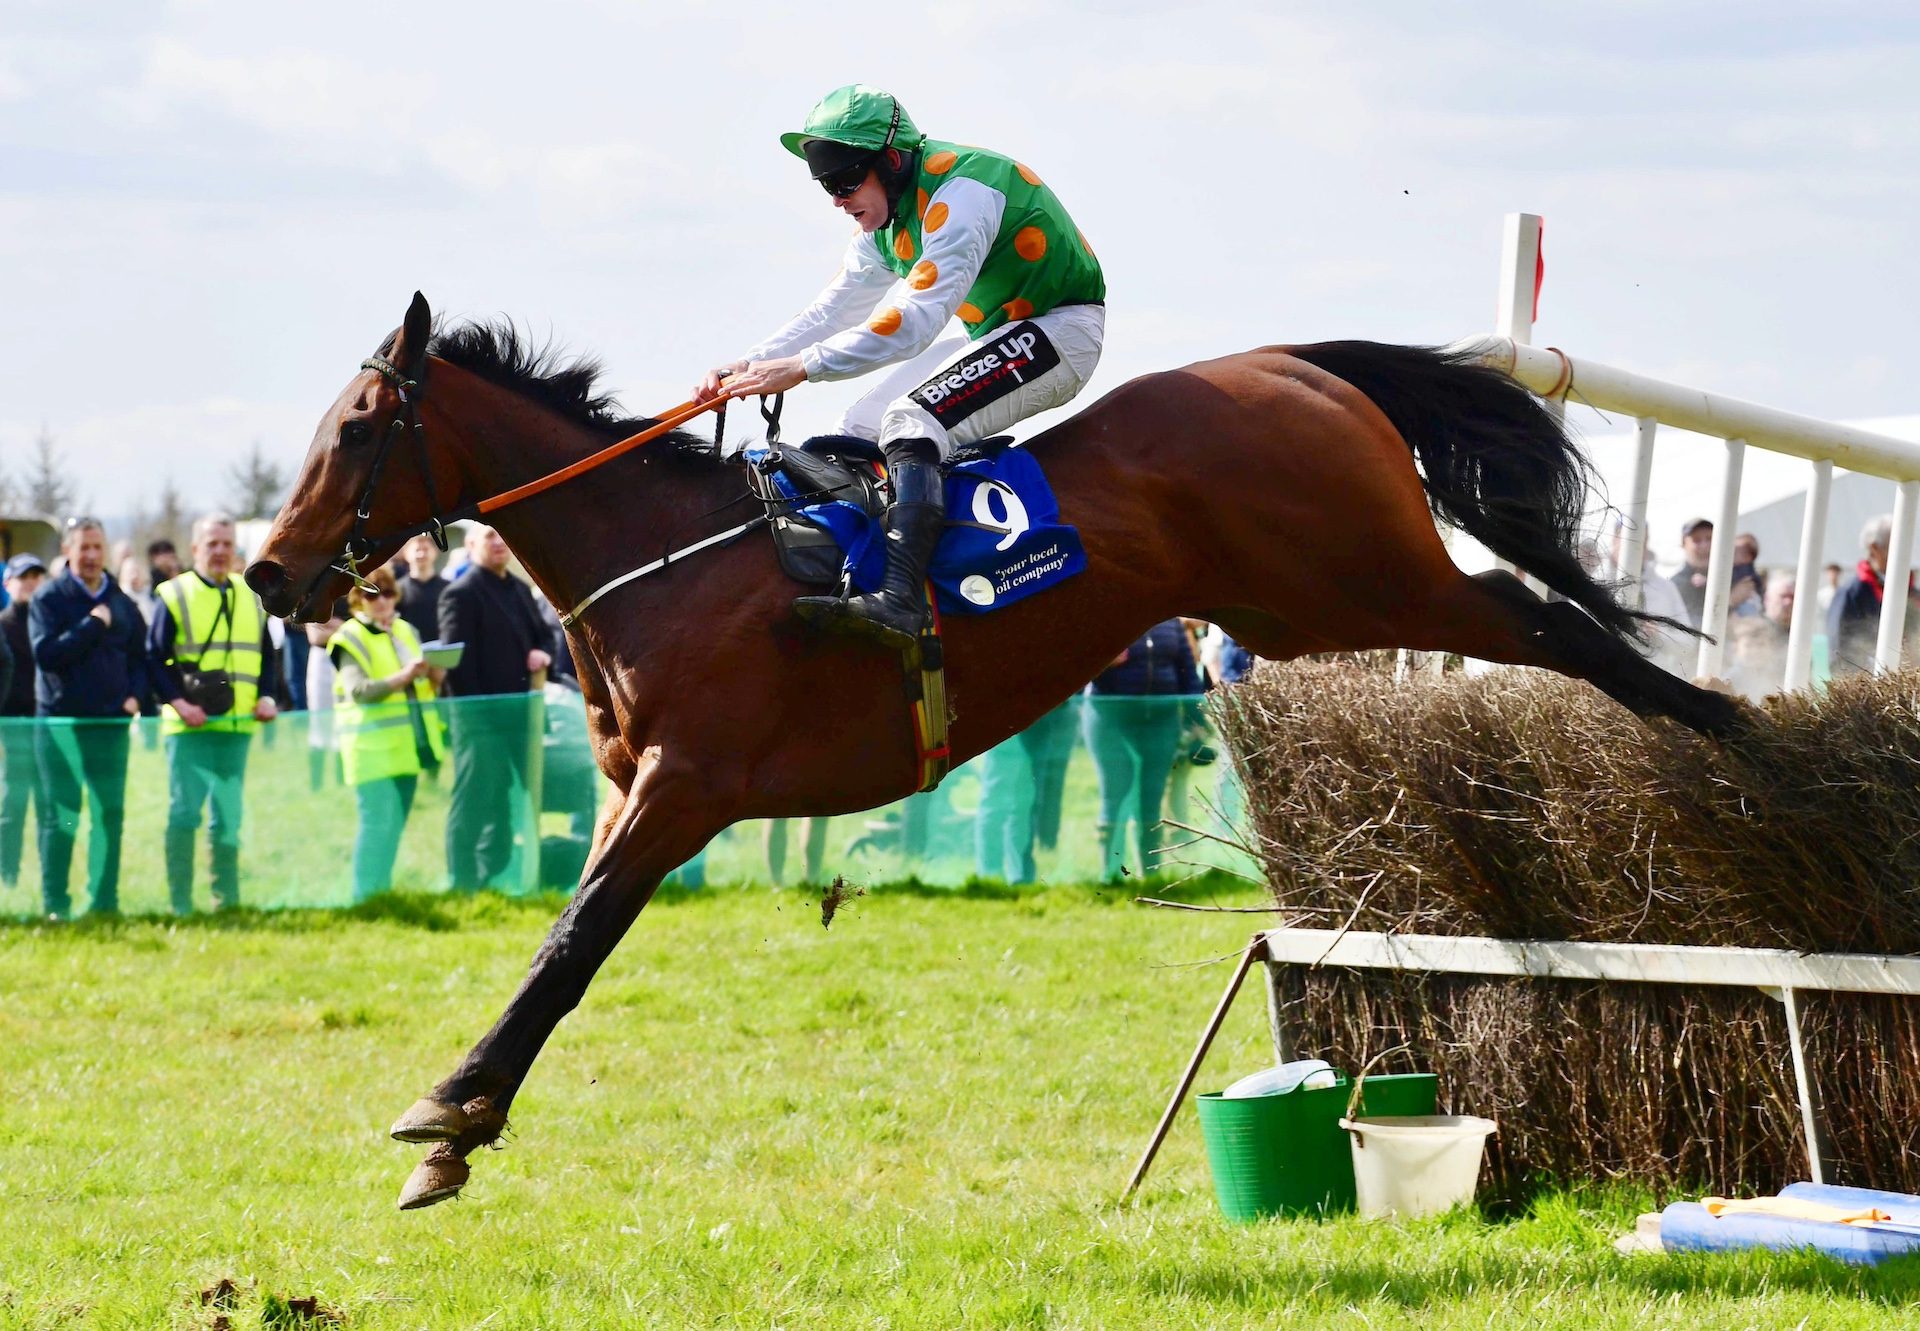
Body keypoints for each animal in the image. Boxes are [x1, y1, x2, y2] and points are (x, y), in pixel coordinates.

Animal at [243, 293, 1743, 1206]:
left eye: (358, 428)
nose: (266, 571)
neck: (664, 559)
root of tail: (1289, 366)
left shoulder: (686, 790)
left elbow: (567, 949)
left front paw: (449, 1113)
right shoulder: (629, 793)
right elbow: (564, 937)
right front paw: (462, 1130)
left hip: (1372, 576)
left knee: (1552, 619)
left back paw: (1737, 739)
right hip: (1300, 607)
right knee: (1539, 619)